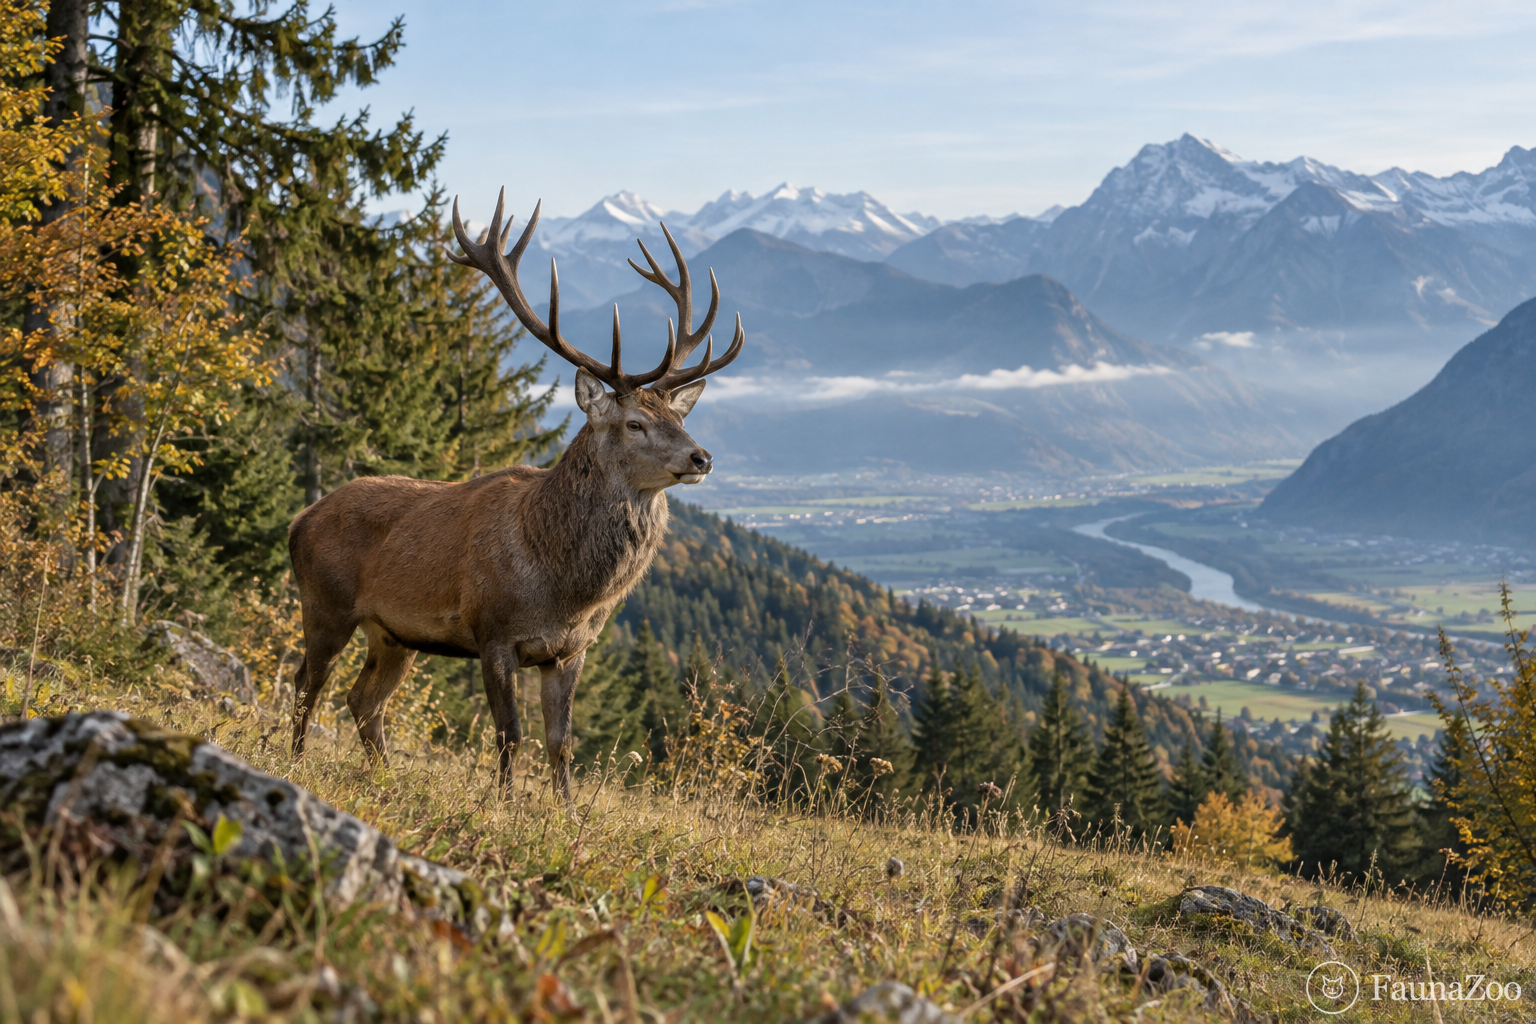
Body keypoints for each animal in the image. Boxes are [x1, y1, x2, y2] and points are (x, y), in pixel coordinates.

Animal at [286, 188, 744, 800]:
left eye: (678, 416)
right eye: (635, 424)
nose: (702, 458)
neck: (564, 586)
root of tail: (299, 521)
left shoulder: (571, 650)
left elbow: (561, 742)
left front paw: (565, 811)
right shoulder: (493, 632)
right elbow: (510, 735)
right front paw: (502, 806)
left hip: (393, 634)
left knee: (362, 700)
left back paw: (385, 777)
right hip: (325, 603)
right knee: (306, 683)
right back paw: (291, 761)